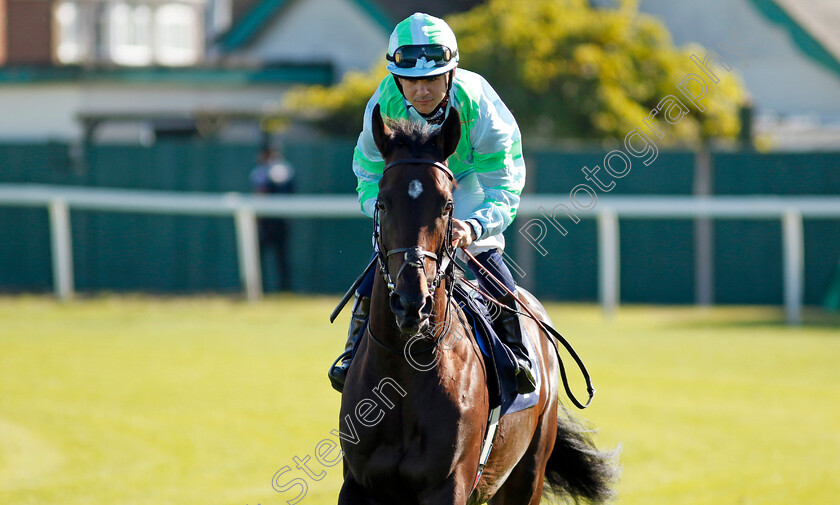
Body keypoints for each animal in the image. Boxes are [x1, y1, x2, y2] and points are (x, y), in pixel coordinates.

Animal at [336, 104, 616, 502]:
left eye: (446, 205)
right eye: (382, 202)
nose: (412, 302)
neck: (401, 375)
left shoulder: (449, 483)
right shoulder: (358, 483)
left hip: (527, 472)